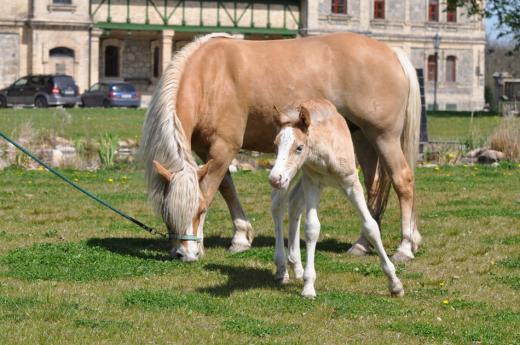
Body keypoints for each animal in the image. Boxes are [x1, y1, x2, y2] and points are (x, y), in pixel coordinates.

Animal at [140, 32, 420, 262]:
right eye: (166, 214)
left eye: (197, 212)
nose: (183, 254)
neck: (209, 76)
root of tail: (391, 51)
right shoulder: (206, 150)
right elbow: (227, 189)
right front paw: (241, 237)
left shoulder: (224, 147)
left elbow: (209, 191)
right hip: (363, 138)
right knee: (373, 187)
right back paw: (362, 244)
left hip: (384, 137)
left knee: (402, 180)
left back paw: (405, 247)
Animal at [270, 99, 404, 298]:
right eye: (276, 144)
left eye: (299, 147)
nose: (273, 178)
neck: (325, 153)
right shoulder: (313, 182)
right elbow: (312, 228)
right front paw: (308, 286)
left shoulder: (351, 183)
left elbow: (371, 226)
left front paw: (395, 284)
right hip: (292, 177)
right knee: (278, 205)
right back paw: (282, 268)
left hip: (297, 176)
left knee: (294, 203)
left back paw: (296, 266)